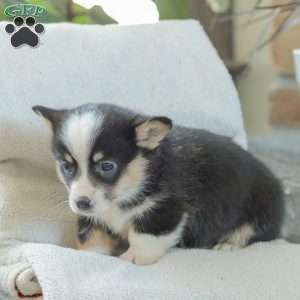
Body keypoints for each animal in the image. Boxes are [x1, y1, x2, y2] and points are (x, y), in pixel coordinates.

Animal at [32, 103, 284, 264]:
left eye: (107, 166)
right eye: (67, 167)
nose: (81, 203)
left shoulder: (165, 208)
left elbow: (144, 234)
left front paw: (135, 257)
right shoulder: (94, 218)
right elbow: (93, 236)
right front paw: (90, 255)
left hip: (261, 209)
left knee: (251, 232)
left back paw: (228, 244)